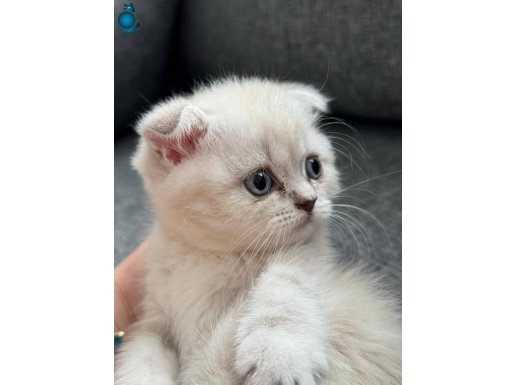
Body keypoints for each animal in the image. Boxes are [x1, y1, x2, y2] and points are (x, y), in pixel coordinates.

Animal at [116, 78, 404, 384]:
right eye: (260, 181)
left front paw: (278, 352)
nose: (310, 201)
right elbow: (142, 358)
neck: (211, 258)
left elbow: (285, 282)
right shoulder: (155, 318)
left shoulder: (308, 255)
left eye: (313, 167)